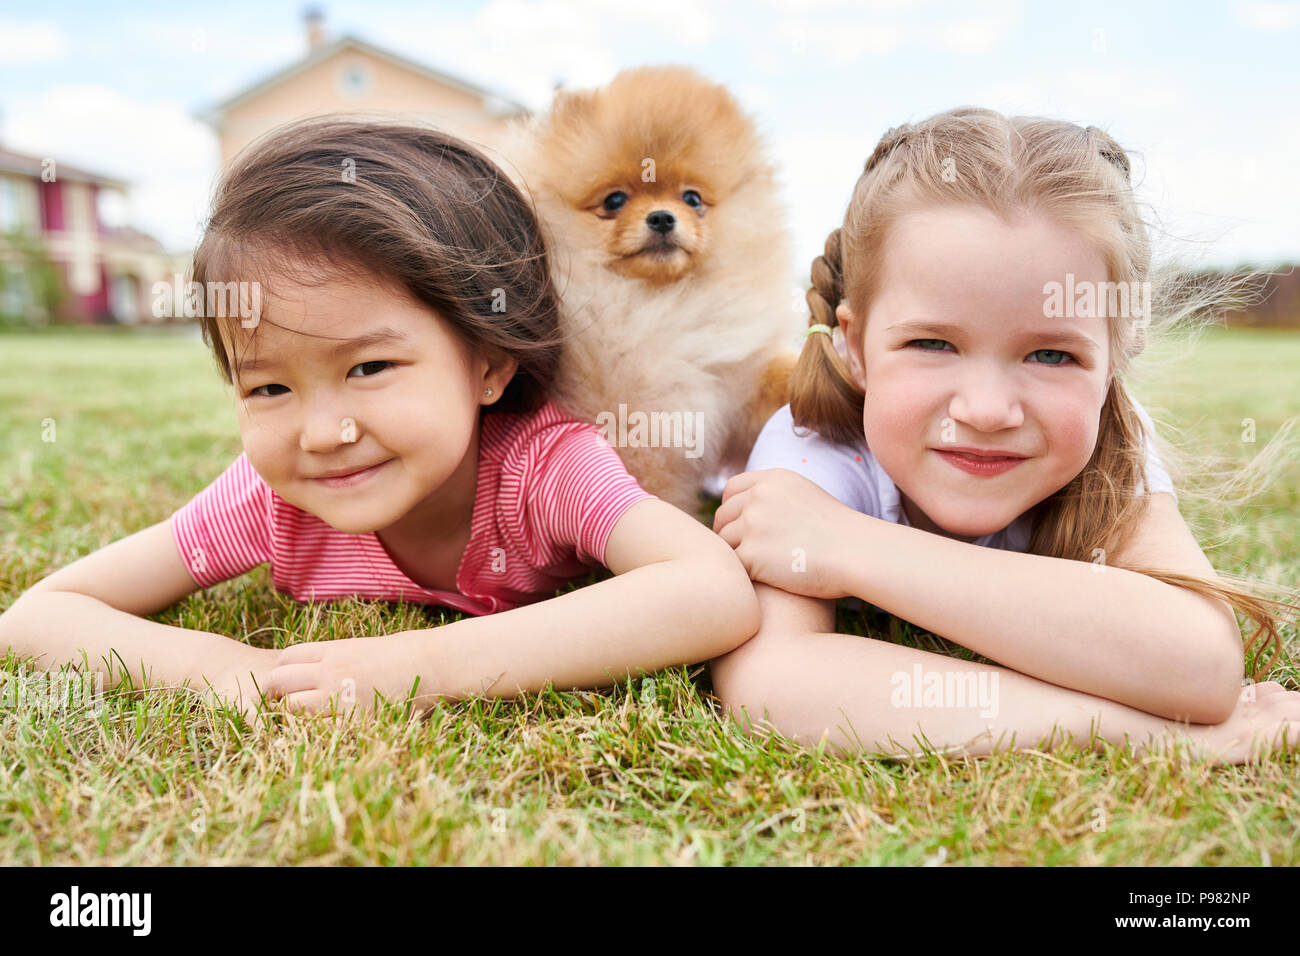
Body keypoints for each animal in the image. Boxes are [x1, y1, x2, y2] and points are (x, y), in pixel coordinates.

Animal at [499, 64, 795, 520]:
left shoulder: (733, 389)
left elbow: (774, 380)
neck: (651, 306)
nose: (661, 217)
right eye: (614, 200)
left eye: (692, 198)